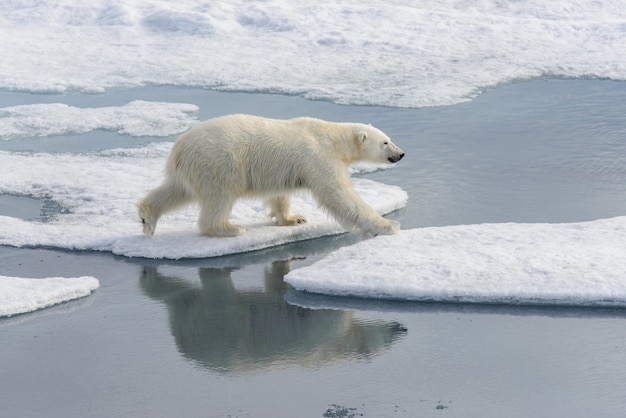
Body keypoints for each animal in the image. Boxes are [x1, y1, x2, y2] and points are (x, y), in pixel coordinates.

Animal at [135, 114, 404, 237]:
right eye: (385, 142)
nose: (401, 154)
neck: (332, 137)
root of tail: (179, 148)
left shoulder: (285, 168)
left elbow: (280, 195)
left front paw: (294, 219)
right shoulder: (319, 157)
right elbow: (339, 194)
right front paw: (388, 225)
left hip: (192, 169)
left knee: (176, 190)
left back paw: (147, 217)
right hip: (219, 162)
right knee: (219, 197)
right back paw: (230, 228)